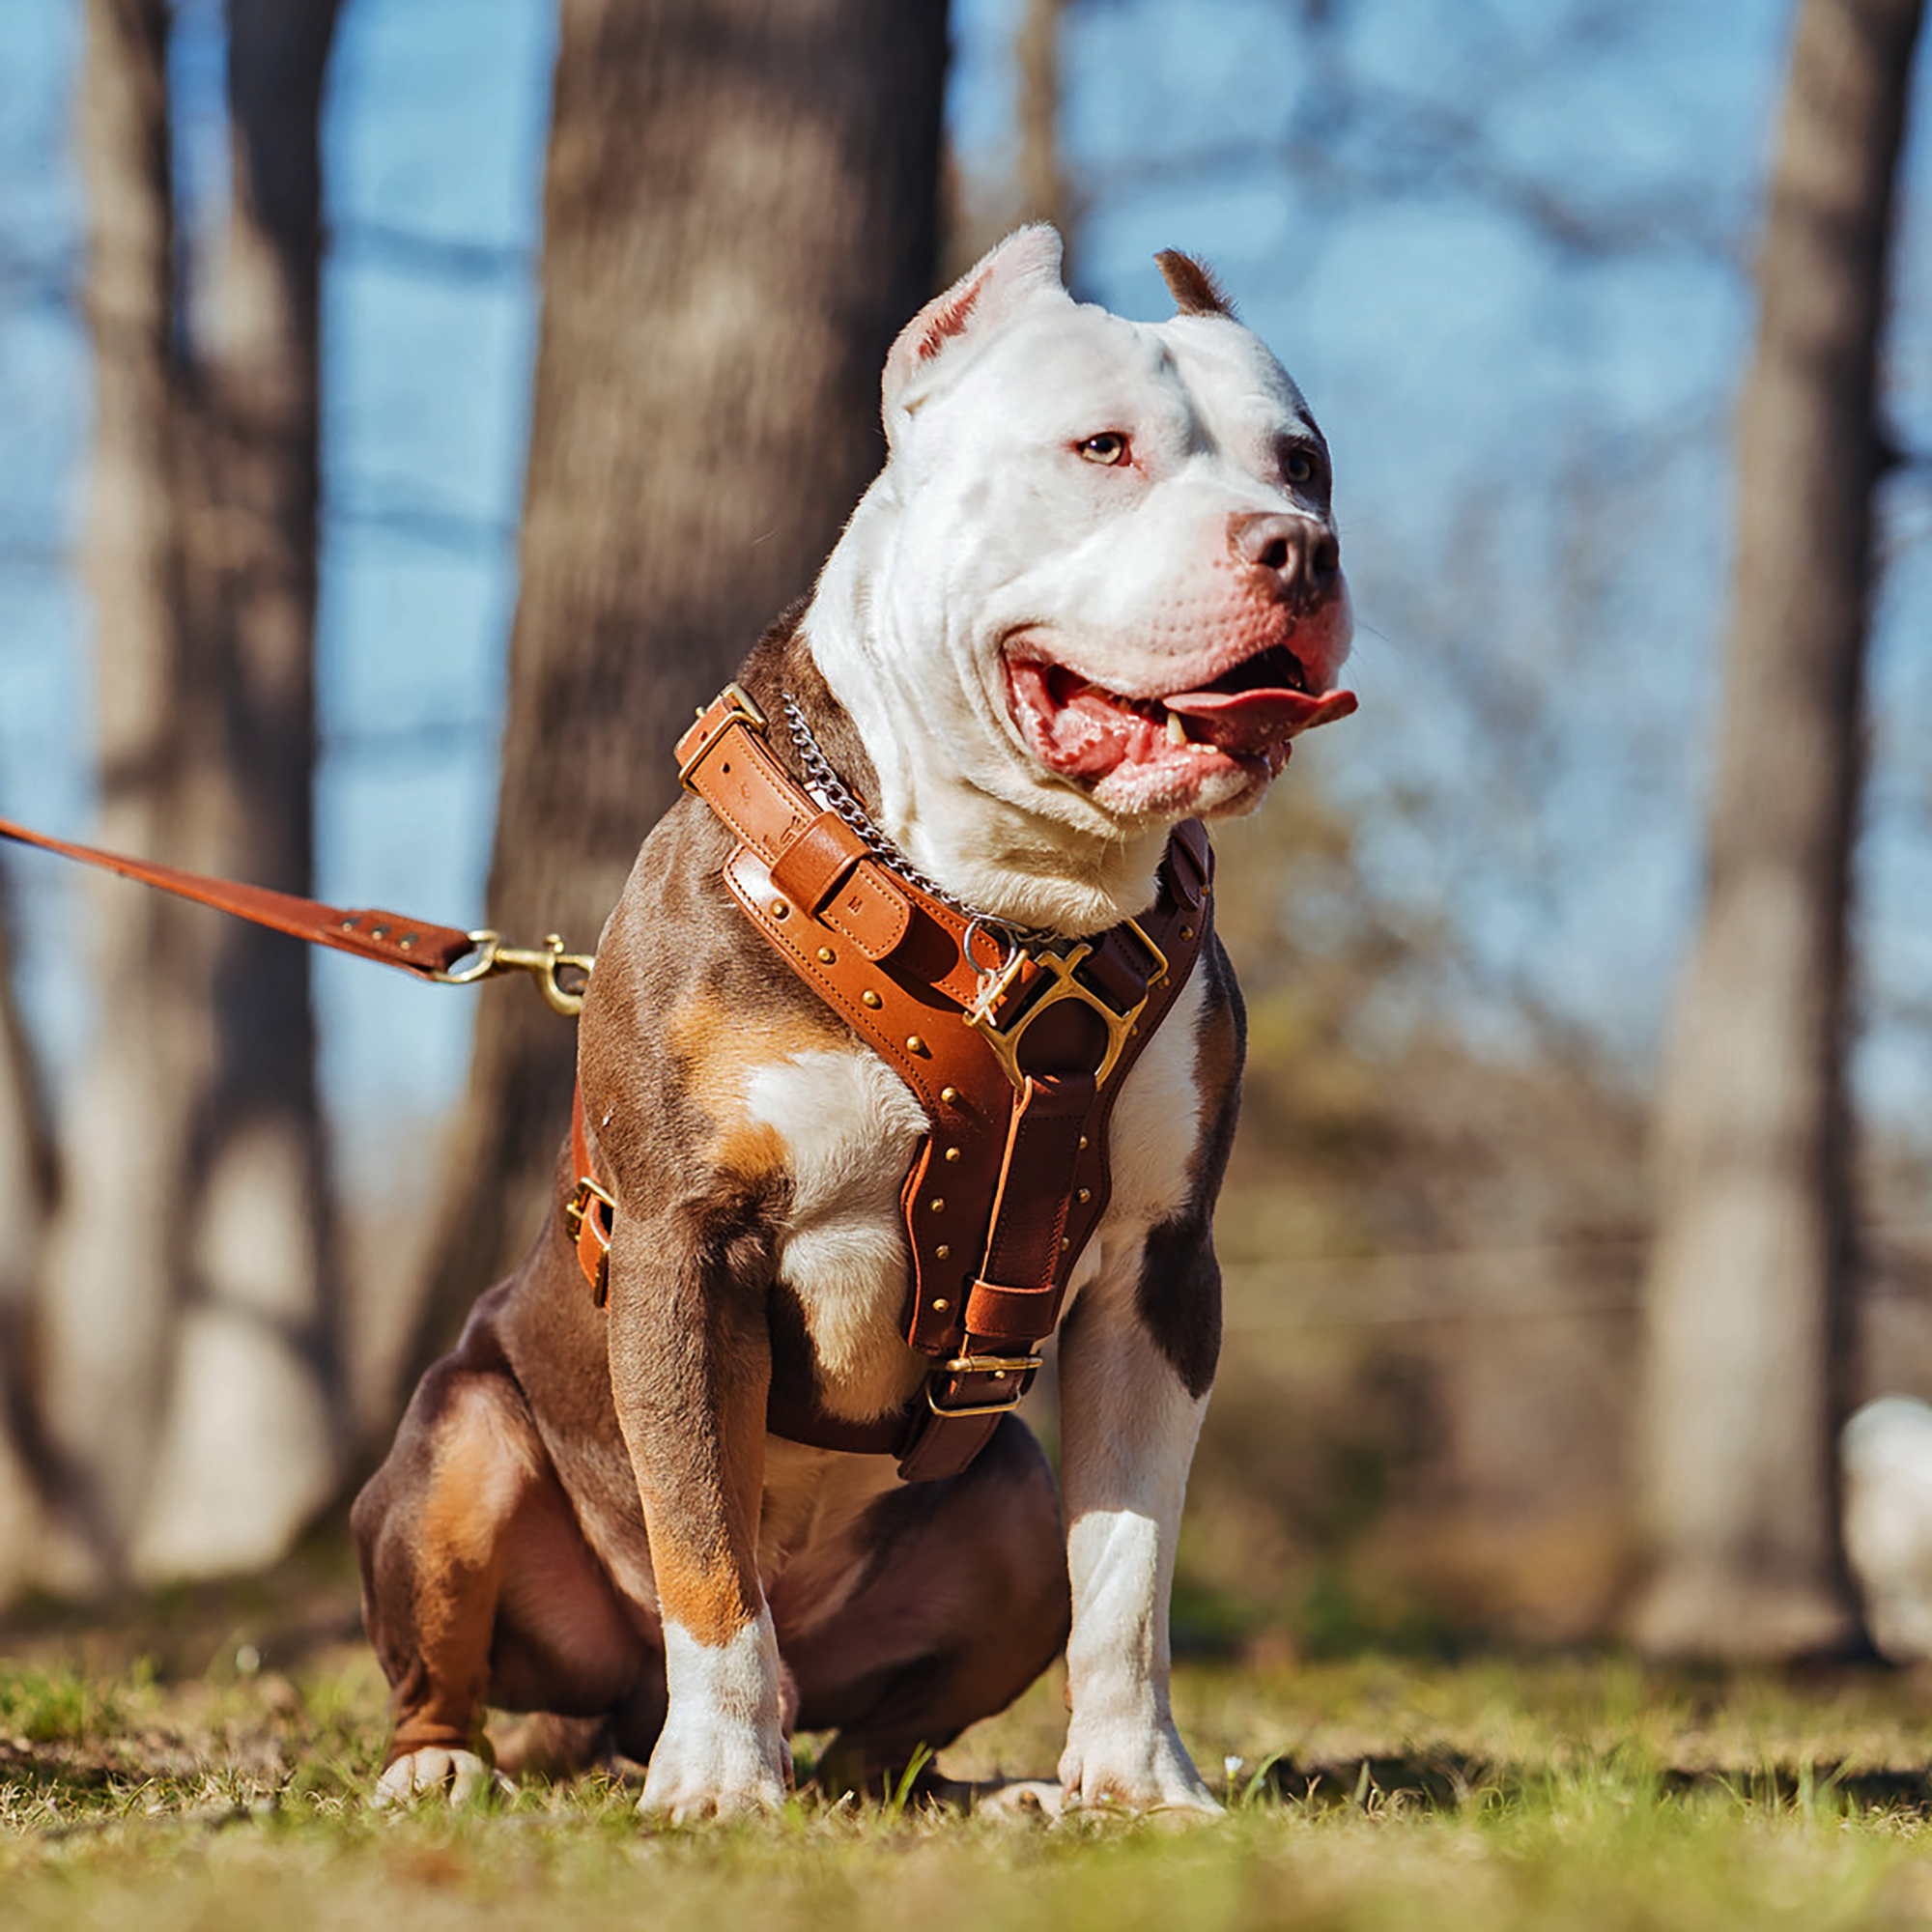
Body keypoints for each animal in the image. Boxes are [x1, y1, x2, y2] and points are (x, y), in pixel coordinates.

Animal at [359, 230, 1360, 1824]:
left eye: (1305, 464)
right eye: (1103, 447)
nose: (1297, 548)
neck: (1007, 901)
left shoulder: (1161, 1273)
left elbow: (1128, 1572)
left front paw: (1138, 1781)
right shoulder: (684, 1247)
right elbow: (710, 1550)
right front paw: (716, 1778)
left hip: (1002, 1509)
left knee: (882, 1734)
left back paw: (975, 1792)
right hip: (460, 1442)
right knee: (468, 1657)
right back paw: (453, 1763)